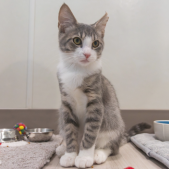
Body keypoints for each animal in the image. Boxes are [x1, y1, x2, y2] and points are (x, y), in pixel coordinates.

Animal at [55, 3, 151, 168]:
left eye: (95, 43)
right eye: (76, 40)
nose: (87, 54)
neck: (76, 71)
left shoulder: (96, 102)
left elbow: (90, 132)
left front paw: (84, 157)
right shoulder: (66, 103)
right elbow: (69, 129)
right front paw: (70, 154)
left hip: (112, 120)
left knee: (112, 146)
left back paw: (99, 153)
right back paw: (62, 148)